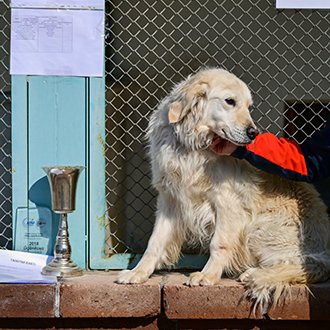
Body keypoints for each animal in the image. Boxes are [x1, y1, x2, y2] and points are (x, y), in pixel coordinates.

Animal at [116, 67, 330, 312]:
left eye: (249, 106)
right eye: (230, 101)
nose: (254, 133)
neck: (194, 147)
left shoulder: (227, 201)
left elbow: (219, 243)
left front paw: (207, 276)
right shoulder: (169, 200)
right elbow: (155, 242)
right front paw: (138, 273)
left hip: (260, 227)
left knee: (300, 264)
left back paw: (254, 274)